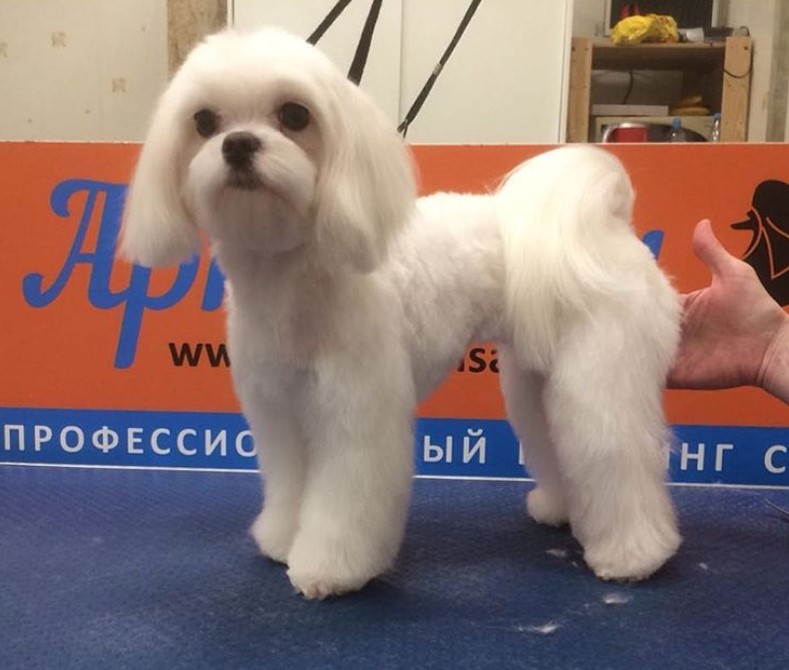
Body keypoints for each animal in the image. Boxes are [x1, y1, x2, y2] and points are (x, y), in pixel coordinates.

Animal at [120, 28, 680, 600]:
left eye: (295, 115)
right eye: (204, 121)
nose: (237, 144)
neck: (293, 278)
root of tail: (610, 225)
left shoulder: (355, 411)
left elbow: (345, 499)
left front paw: (329, 568)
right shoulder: (280, 411)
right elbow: (290, 484)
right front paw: (282, 539)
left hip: (600, 374)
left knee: (614, 452)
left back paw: (633, 554)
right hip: (537, 380)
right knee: (562, 444)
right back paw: (564, 511)